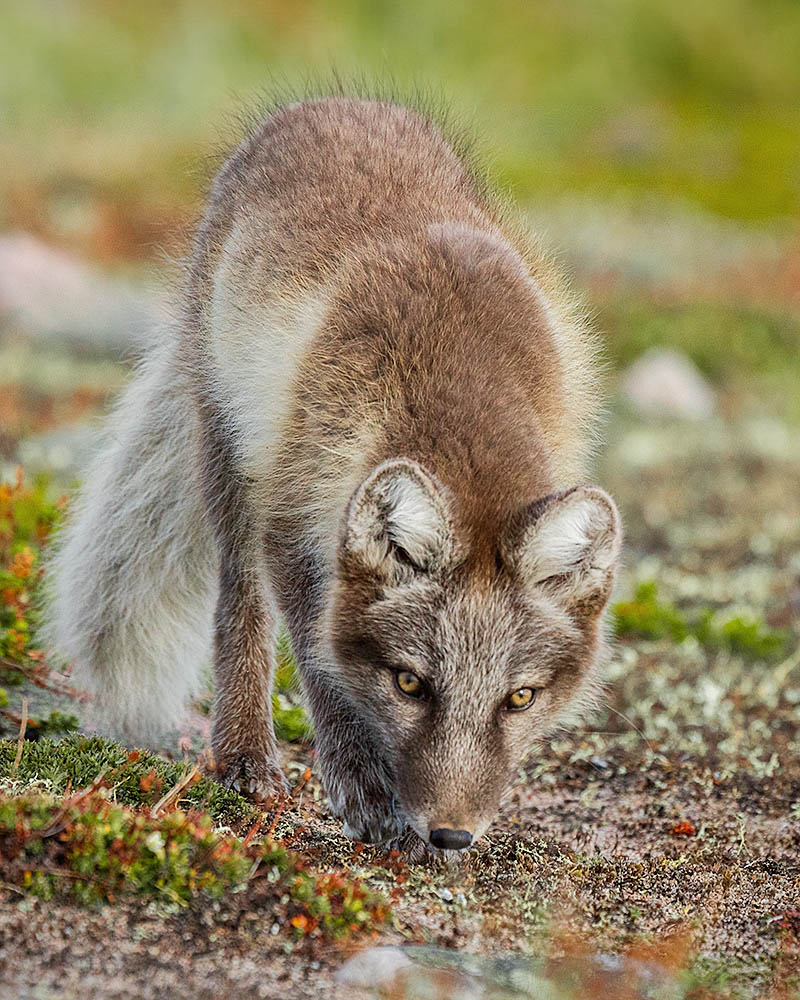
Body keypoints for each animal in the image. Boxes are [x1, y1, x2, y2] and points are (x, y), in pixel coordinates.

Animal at [45, 95, 624, 852]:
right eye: (409, 684)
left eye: (519, 698)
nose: (450, 836)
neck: (463, 395)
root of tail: (331, 104)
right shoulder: (295, 515)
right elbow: (321, 657)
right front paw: (362, 784)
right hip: (233, 452)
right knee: (240, 605)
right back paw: (246, 755)